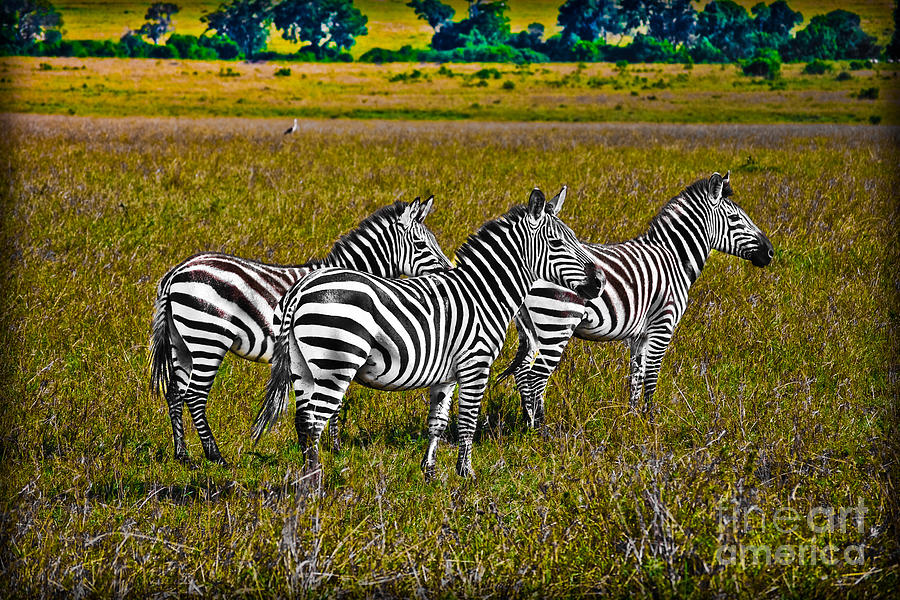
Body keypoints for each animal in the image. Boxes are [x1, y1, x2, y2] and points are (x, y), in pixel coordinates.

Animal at [149, 197, 453, 465]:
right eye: (421, 244)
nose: (450, 272)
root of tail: (175, 272)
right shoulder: (337, 346)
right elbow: (336, 405)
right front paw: (335, 449)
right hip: (207, 338)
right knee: (195, 395)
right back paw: (216, 457)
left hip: (181, 341)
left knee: (174, 392)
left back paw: (183, 456)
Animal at [253, 186, 606, 481]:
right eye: (558, 244)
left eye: (575, 239)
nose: (599, 284)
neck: (483, 294)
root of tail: (302, 289)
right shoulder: (476, 366)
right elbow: (467, 422)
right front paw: (467, 475)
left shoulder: (446, 376)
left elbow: (437, 424)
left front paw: (431, 474)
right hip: (336, 362)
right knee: (314, 422)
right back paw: (316, 485)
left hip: (302, 366)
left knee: (302, 423)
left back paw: (307, 479)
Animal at [502, 171, 774, 426]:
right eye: (736, 219)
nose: (771, 252)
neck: (674, 258)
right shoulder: (662, 325)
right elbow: (652, 375)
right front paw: (651, 421)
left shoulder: (639, 335)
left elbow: (636, 375)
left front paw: (632, 420)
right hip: (557, 321)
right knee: (536, 376)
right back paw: (541, 429)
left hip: (531, 328)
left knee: (523, 372)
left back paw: (527, 423)